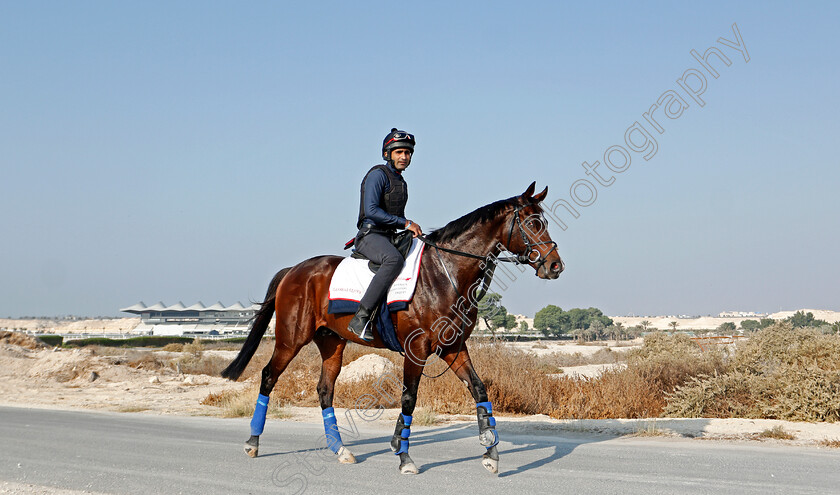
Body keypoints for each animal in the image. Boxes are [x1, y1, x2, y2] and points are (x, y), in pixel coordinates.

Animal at [223, 180, 564, 474]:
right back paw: (252, 443)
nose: (554, 265)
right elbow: (409, 398)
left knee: (325, 390)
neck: (444, 275)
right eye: (533, 223)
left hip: (332, 342)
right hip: (290, 339)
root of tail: (294, 270)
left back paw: (340, 449)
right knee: (269, 376)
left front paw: (490, 452)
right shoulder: (417, 349)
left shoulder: (453, 348)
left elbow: (479, 389)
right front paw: (404, 456)